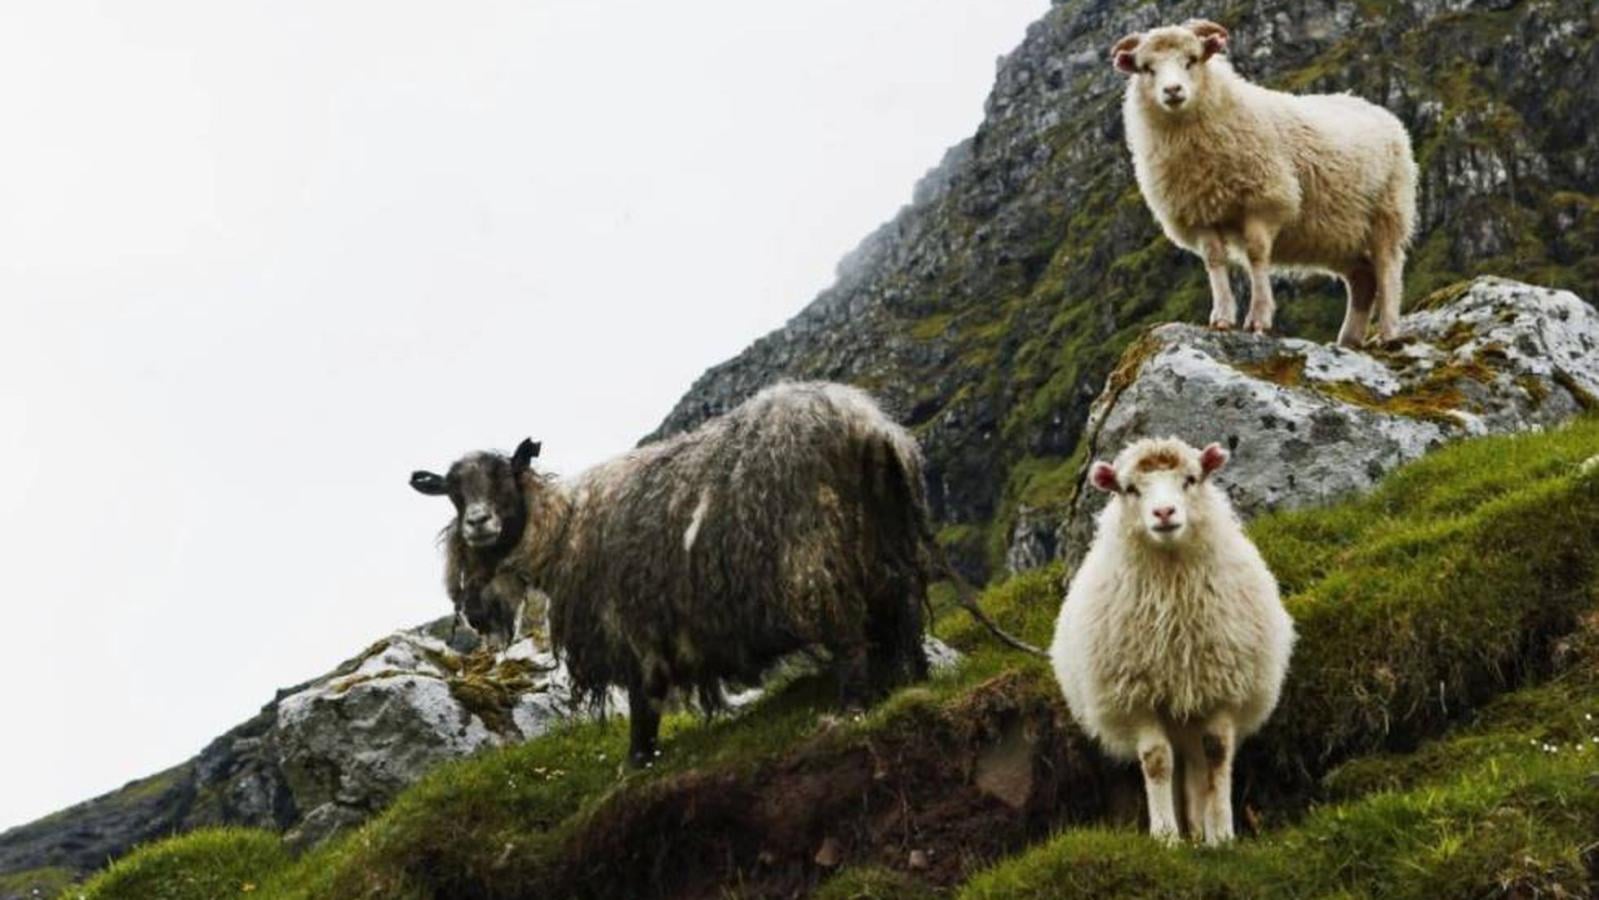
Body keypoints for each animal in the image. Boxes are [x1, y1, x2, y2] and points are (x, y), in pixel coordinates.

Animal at [412, 382, 951, 767]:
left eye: (506, 477)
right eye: (454, 494)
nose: (477, 523)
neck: (565, 527)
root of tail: (869, 427)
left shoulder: (629, 626)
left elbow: (644, 699)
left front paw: (637, 760)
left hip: (815, 558)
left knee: (849, 638)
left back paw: (849, 708)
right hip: (887, 552)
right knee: (902, 619)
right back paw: (913, 677)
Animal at [1050, 437, 1295, 844]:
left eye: (1191, 479)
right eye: (1130, 489)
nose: (1164, 512)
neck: (1172, 587)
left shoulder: (1221, 687)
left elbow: (1217, 754)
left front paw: (1222, 834)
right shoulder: (1137, 695)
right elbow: (1157, 760)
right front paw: (1165, 837)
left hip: (1191, 708)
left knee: (1196, 761)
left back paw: (1200, 830)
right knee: (1178, 761)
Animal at [1113, 19, 1418, 348]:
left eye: (1192, 59)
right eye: (1147, 68)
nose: (1172, 91)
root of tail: (1372, 107)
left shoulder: (1264, 200)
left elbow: (1256, 255)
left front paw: (1258, 319)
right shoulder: (1199, 212)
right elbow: (1214, 260)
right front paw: (1221, 318)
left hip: (1388, 212)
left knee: (1388, 269)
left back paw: (1388, 334)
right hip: (1337, 234)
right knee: (1363, 277)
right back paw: (1348, 340)